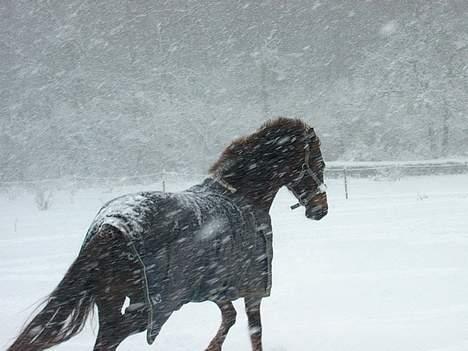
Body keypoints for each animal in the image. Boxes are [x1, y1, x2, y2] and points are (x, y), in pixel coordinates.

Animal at [8, 118, 330, 351]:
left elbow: (229, 317)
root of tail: (108, 227)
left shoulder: (215, 286)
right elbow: (254, 331)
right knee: (111, 338)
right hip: (146, 309)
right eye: (318, 162)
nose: (321, 209)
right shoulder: (251, 288)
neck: (242, 196)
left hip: (111, 301)